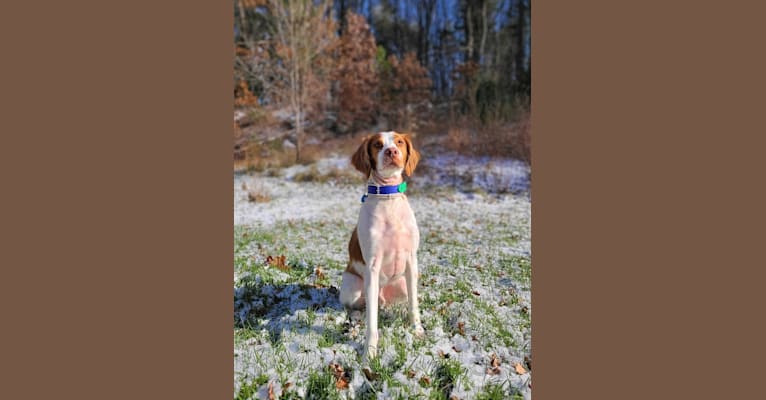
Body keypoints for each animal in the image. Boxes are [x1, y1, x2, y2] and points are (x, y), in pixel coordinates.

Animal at [342, 130, 426, 360]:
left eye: (399, 142)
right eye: (378, 145)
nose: (391, 151)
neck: (388, 198)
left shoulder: (411, 260)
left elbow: (414, 306)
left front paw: (417, 330)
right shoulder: (372, 267)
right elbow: (372, 323)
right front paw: (369, 354)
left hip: (402, 285)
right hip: (352, 286)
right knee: (356, 306)